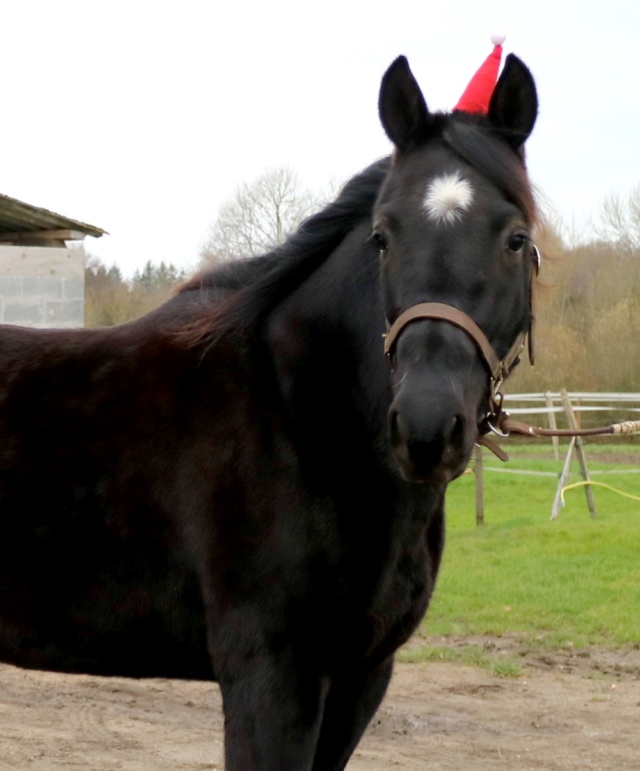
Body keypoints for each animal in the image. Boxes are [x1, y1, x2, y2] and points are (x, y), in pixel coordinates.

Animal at [0, 52, 536, 764]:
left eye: (515, 239)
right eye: (383, 237)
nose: (425, 427)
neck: (301, 416)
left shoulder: (360, 678)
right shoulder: (272, 675)